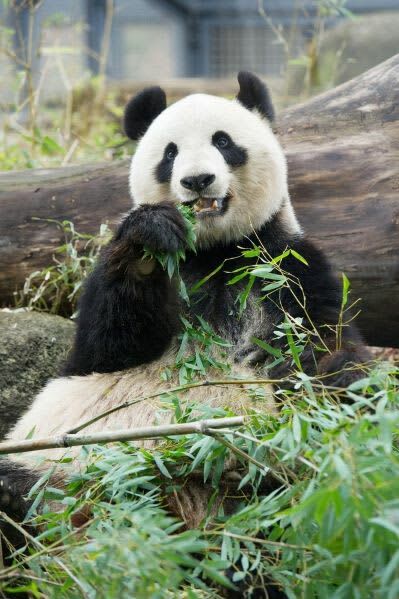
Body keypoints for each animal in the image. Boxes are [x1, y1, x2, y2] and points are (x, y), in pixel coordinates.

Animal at [0, 75, 370, 552]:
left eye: (223, 141)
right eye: (170, 153)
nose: (197, 180)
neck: (214, 251)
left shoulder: (285, 267)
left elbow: (325, 341)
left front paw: (328, 373)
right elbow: (107, 345)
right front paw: (149, 241)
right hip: (52, 456)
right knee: (24, 482)